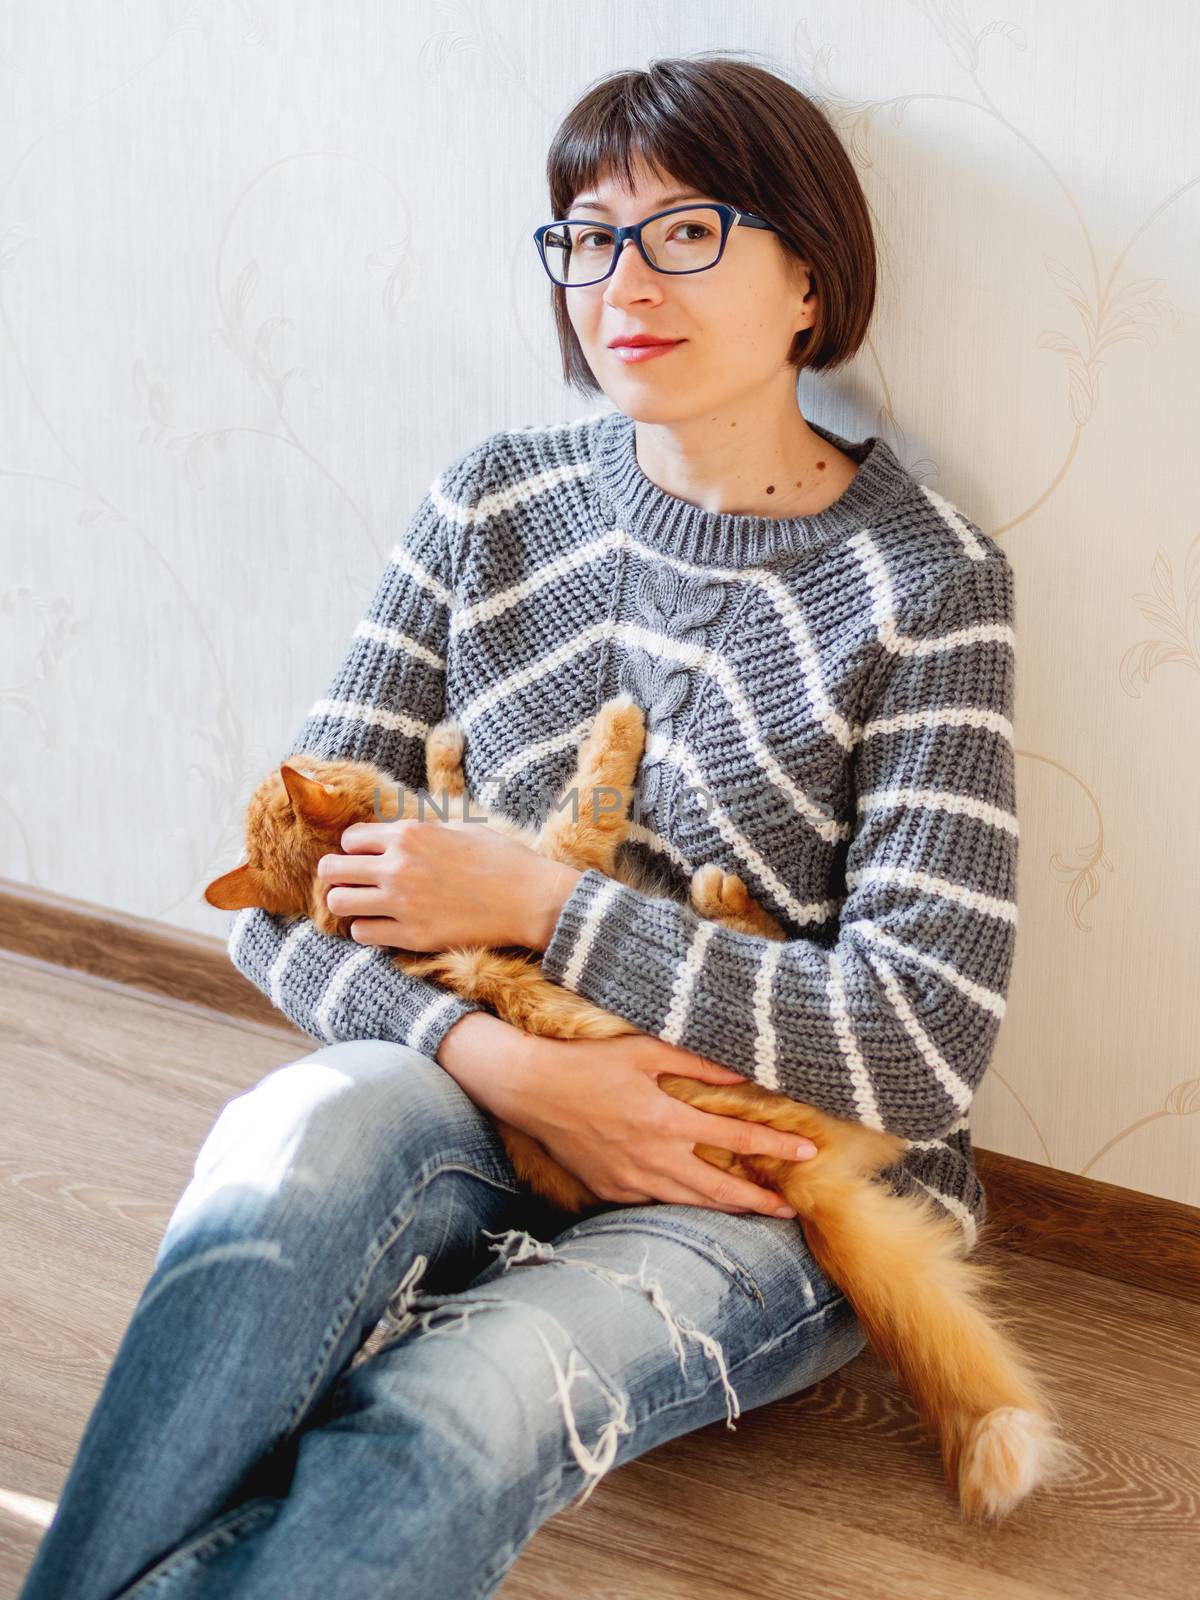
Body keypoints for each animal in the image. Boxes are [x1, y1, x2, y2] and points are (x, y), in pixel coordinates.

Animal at [206, 694, 1081, 1516]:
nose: (308, 746)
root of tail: (791, 1177)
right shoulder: (555, 856)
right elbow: (589, 788)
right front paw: (616, 727)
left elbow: (460, 781)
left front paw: (444, 747)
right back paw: (724, 893)